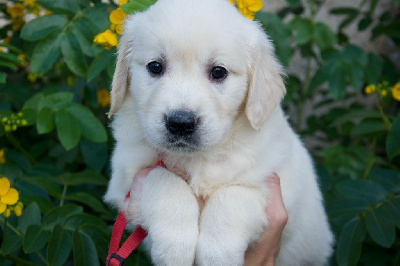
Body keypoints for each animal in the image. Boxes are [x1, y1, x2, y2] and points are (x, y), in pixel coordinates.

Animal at [104, 0, 334, 264]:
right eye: (155, 67)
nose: (180, 122)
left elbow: (234, 195)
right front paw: (174, 247)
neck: (198, 158)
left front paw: (218, 254)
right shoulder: (125, 179)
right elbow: (163, 179)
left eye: (218, 72)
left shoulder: (280, 184)